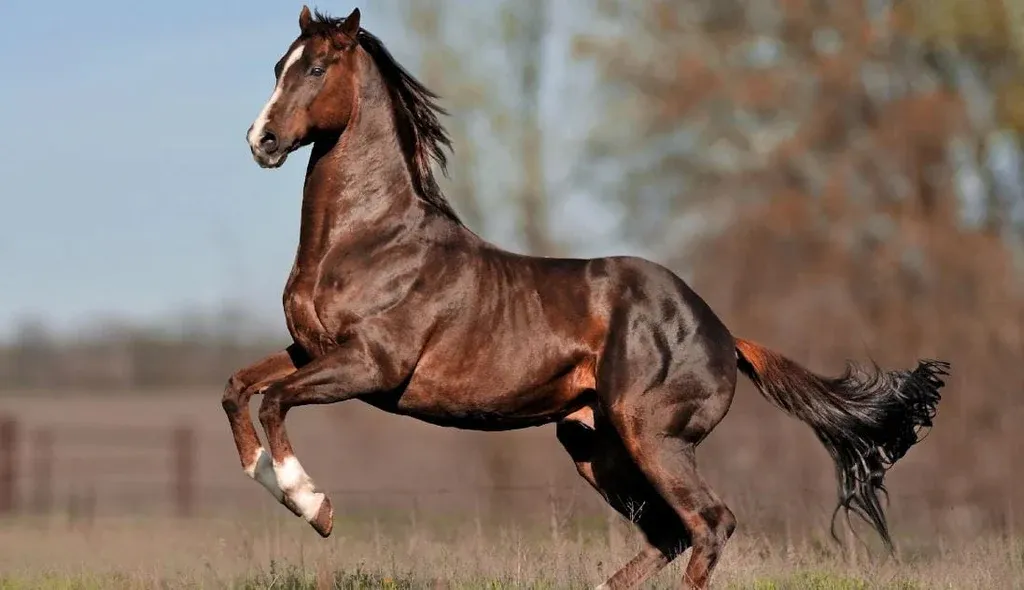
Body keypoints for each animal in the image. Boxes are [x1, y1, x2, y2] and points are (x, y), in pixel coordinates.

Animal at [222, 6, 951, 589]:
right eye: (279, 66)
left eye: (317, 68)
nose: (260, 141)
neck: (372, 239)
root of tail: (723, 333)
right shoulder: (311, 349)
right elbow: (240, 388)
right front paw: (267, 476)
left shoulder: (372, 365)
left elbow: (277, 400)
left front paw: (313, 506)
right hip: (592, 444)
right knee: (670, 534)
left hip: (651, 436)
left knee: (710, 523)